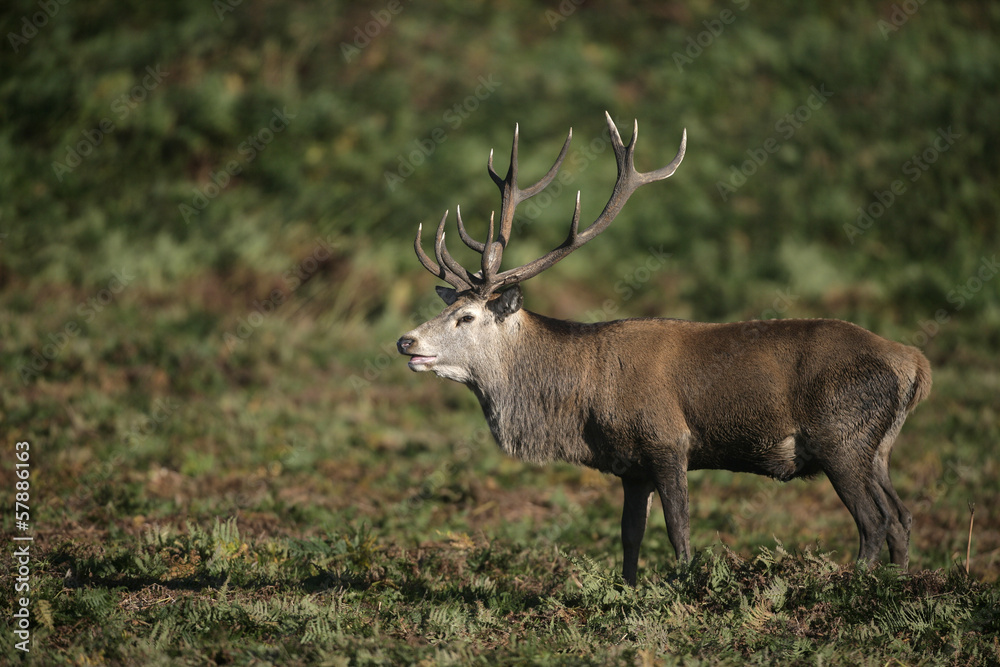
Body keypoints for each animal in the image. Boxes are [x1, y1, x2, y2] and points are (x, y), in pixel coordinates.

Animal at [396, 112, 932, 585]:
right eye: (449, 306)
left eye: (466, 316)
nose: (406, 340)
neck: (582, 401)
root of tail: (914, 364)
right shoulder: (631, 466)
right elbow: (630, 535)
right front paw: (627, 591)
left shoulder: (668, 439)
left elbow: (679, 531)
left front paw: (682, 586)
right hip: (876, 447)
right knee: (902, 517)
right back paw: (895, 583)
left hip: (840, 438)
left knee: (875, 521)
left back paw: (851, 584)